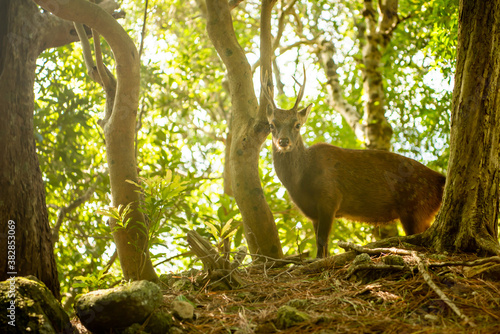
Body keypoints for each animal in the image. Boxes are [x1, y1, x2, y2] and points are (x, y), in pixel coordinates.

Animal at [264, 70, 448, 258]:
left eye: (297, 125)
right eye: (271, 125)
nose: (283, 141)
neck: (300, 182)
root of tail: (441, 179)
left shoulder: (330, 197)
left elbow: (322, 242)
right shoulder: (313, 213)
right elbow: (322, 246)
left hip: (416, 209)